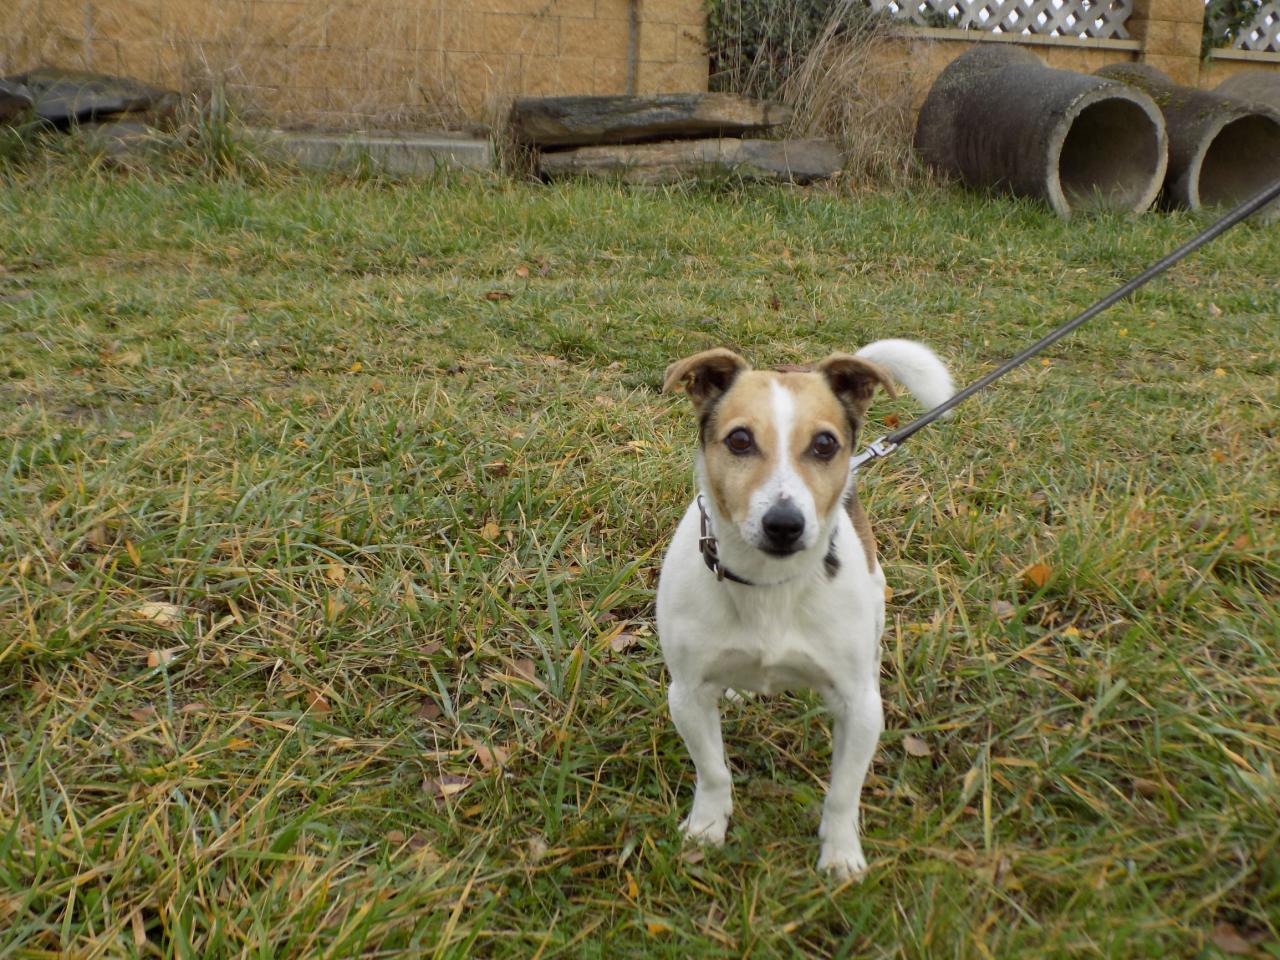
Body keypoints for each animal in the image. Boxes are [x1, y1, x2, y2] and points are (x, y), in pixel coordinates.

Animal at [656, 339, 953, 877]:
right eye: (739, 440)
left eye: (824, 445)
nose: (784, 524)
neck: (768, 584)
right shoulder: (686, 695)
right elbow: (714, 771)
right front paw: (707, 827)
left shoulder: (858, 711)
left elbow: (842, 793)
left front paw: (840, 853)